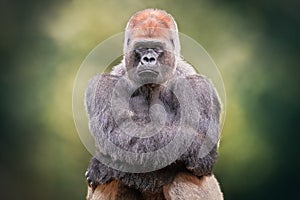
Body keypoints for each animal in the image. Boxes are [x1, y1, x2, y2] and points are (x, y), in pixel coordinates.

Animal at [84, 8, 223, 199]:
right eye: (141, 47)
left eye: (157, 48)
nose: (148, 59)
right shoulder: (104, 85)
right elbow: (116, 134)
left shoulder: (200, 88)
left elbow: (202, 152)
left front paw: (102, 167)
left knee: (184, 175)